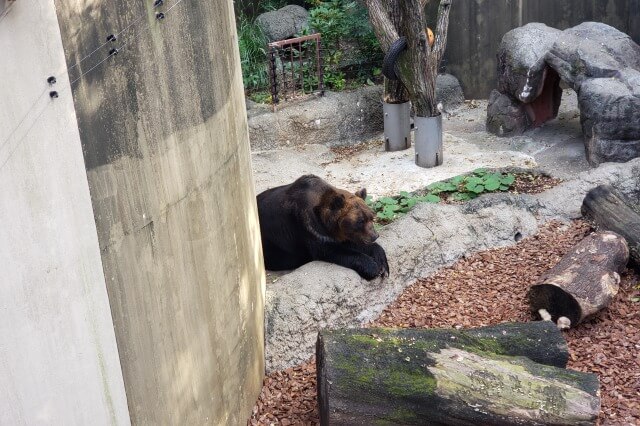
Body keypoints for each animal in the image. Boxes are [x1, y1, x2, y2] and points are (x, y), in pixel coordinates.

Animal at [256, 174, 388, 280]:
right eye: (359, 222)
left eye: (371, 217)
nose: (375, 235)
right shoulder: (307, 226)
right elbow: (330, 250)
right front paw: (373, 268)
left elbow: (354, 244)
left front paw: (382, 265)